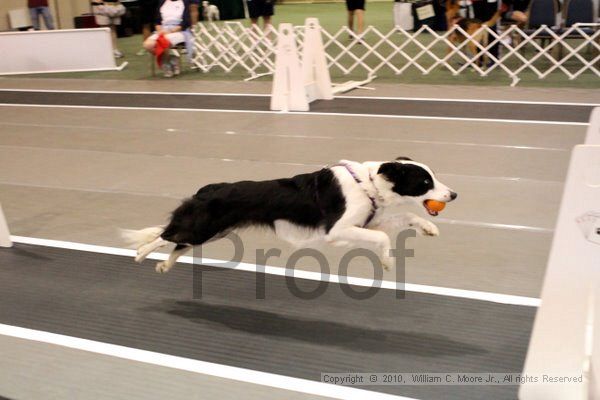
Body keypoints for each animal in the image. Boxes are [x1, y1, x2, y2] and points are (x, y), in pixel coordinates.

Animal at [123, 158, 460, 274]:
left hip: (215, 230)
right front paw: (387, 261)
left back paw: (164, 265)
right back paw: (141, 254)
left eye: (432, 177)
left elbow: (402, 219)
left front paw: (428, 228)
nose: (454, 195)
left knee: (178, 244)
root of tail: (208, 188)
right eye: (425, 182)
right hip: (204, 226)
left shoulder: (367, 219)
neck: (368, 183)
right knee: (165, 234)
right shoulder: (336, 230)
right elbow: (381, 236)